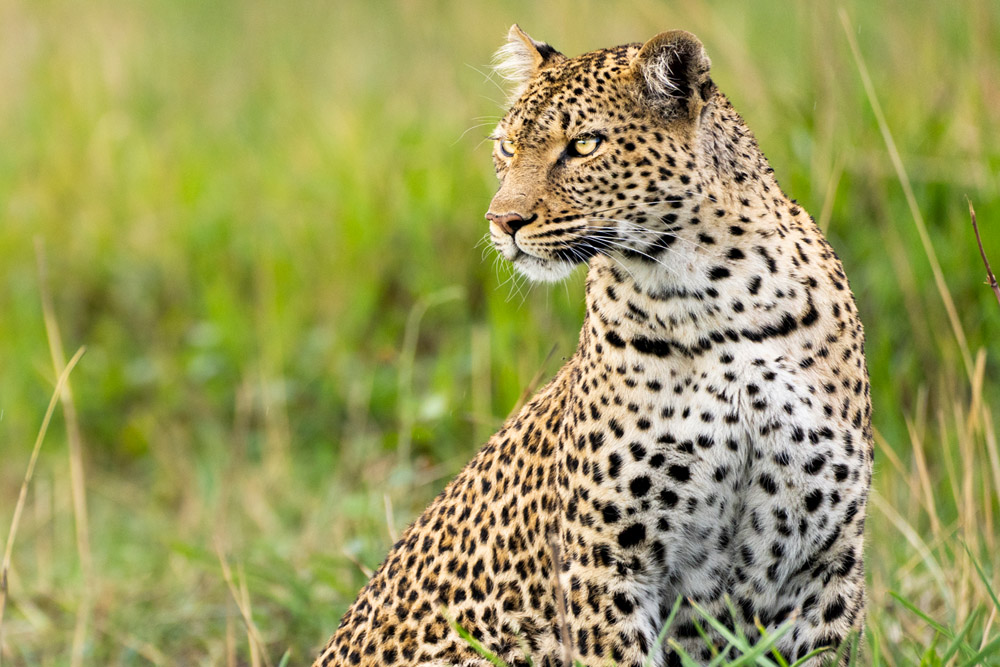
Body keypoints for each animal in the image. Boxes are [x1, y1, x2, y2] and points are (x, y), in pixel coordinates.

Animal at [315, 25, 873, 667]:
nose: (501, 220)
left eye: (584, 145)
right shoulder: (605, 566)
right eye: (506, 147)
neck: (718, 295)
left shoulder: (828, 563)